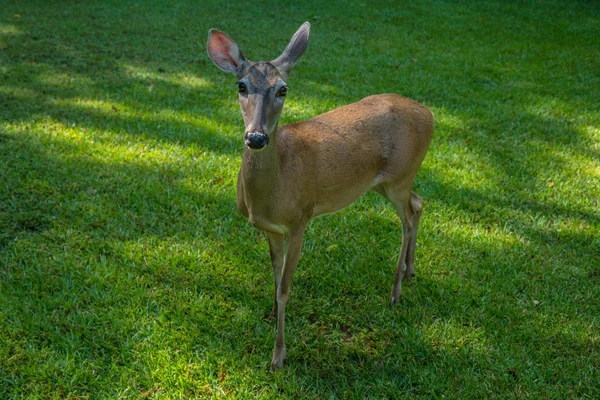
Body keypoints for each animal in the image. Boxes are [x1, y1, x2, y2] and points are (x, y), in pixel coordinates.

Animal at [209, 21, 434, 370]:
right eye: (241, 86)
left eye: (283, 89)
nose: (257, 137)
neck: (271, 191)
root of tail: (431, 115)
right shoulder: (270, 228)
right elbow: (274, 273)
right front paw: (271, 314)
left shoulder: (300, 219)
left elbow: (285, 287)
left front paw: (278, 356)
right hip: (387, 182)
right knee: (419, 202)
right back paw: (410, 273)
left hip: (401, 174)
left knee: (407, 221)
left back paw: (395, 293)